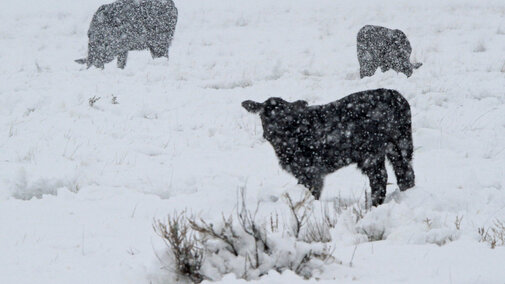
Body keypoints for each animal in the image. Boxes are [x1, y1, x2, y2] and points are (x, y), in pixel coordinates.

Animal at [243, 89, 414, 206]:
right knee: (403, 172)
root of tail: (395, 95)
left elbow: (313, 192)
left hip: (373, 151)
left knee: (381, 177)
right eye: (263, 115)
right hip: (397, 144)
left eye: (285, 116)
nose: (271, 132)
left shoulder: (311, 170)